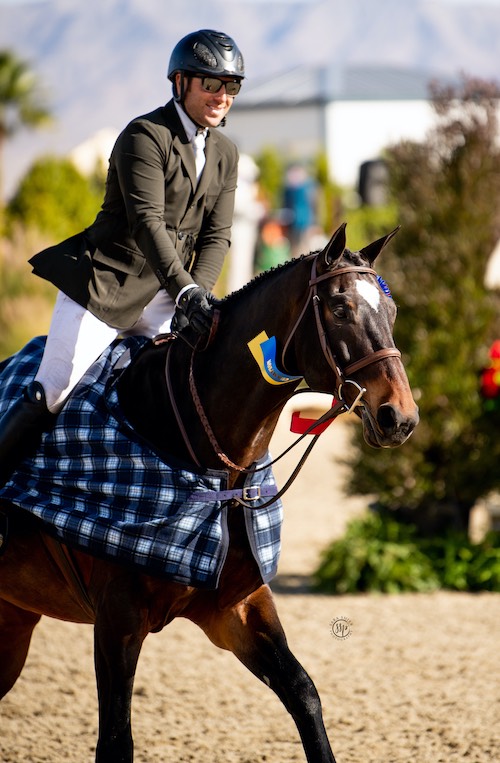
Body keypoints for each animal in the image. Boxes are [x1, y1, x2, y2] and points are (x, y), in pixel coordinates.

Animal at [0, 224, 418, 760]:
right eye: (340, 309)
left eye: (392, 312)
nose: (400, 418)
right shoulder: (116, 621)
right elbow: (115, 739)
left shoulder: (237, 608)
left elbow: (304, 695)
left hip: (13, 619)